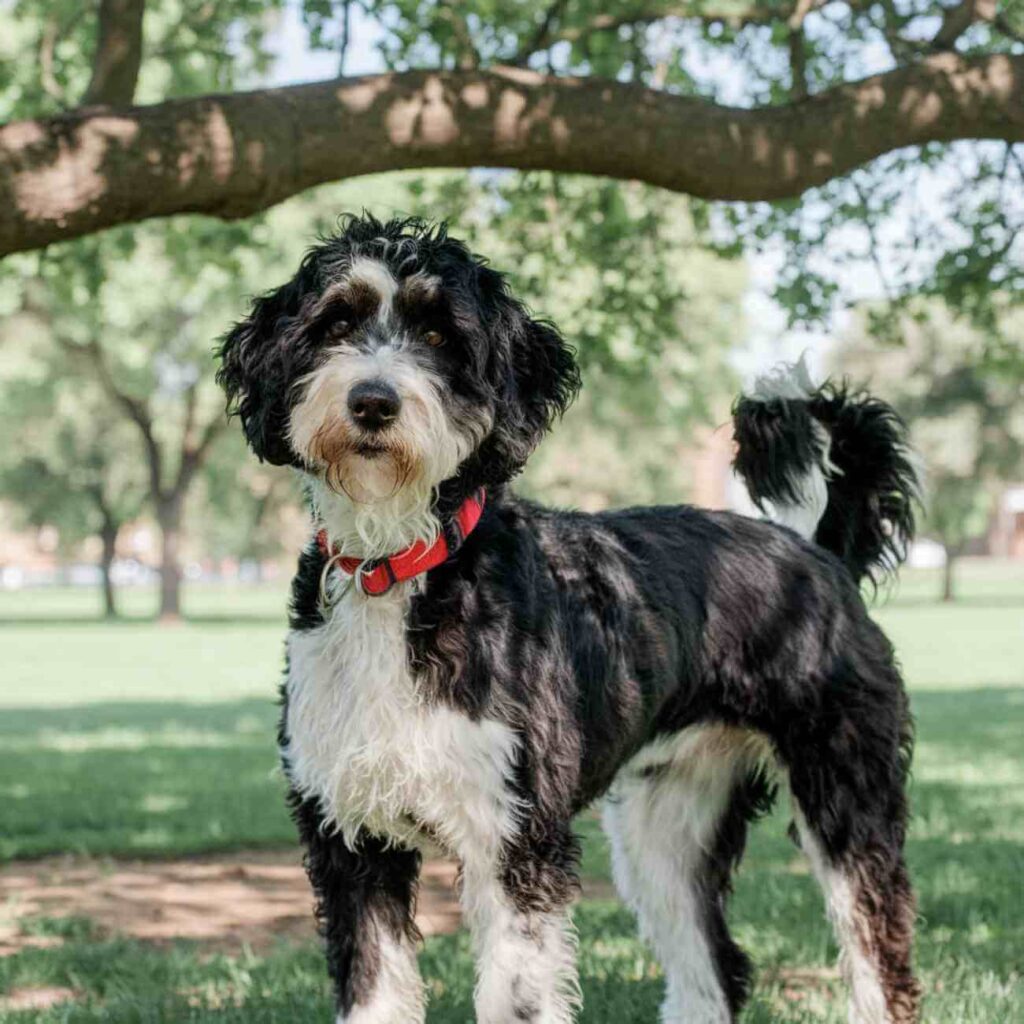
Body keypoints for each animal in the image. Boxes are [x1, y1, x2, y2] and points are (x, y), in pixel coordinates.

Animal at [220, 216, 925, 1024]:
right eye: (336, 322)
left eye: (437, 334)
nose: (372, 401)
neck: (402, 567)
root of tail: (816, 549)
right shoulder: (351, 839)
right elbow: (375, 996)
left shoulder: (516, 843)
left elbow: (515, 996)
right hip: (664, 831)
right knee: (715, 970)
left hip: (847, 802)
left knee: (880, 959)